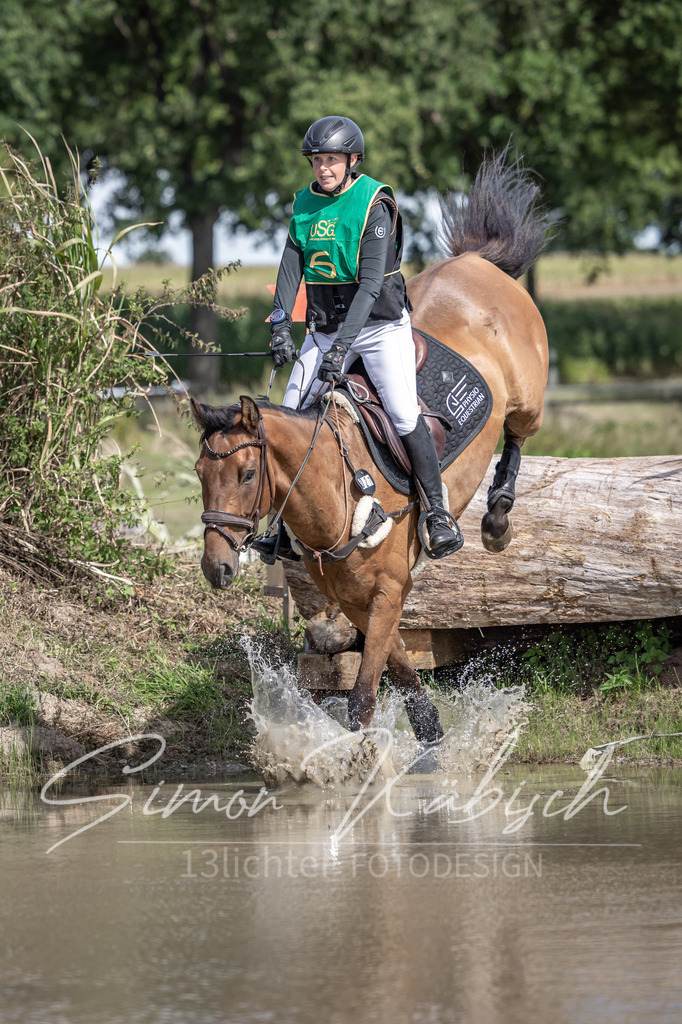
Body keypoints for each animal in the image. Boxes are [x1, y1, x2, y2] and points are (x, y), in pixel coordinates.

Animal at [191, 150, 550, 741]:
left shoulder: (387, 592)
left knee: (518, 434)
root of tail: (478, 261)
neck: (336, 499)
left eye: (246, 475)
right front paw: (430, 734)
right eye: (200, 475)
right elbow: (401, 671)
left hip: (528, 394)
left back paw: (495, 520)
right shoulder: (358, 601)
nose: (216, 568)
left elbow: (362, 699)